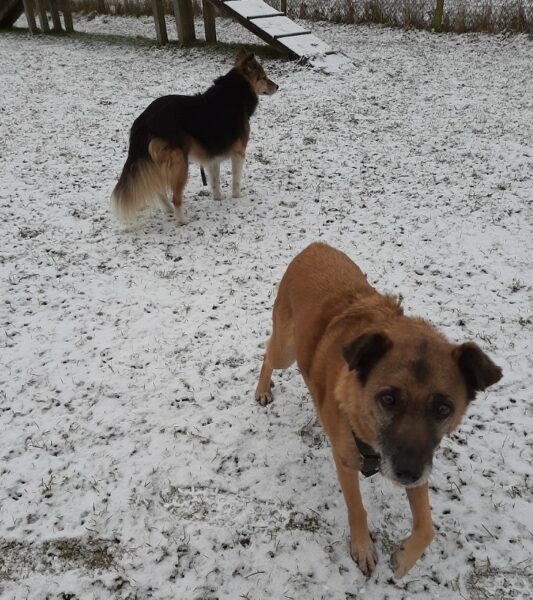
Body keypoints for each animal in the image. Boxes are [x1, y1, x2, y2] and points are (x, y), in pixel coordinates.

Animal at [111, 50, 278, 225]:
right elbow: (236, 179)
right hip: (179, 164)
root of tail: (144, 121)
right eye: (264, 77)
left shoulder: (212, 156)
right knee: (176, 197)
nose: (277, 86)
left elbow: (215, 181)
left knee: (159, 189)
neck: (236, 90)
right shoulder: (239, 153)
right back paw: (182, 219)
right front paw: (237, 196)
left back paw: (168, 210)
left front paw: (218, 198)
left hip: (157, 162)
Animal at [255, 242, 502, 578]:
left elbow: (427, 528)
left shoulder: (420, 459)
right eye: (388, 399)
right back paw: (262, 389)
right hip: (286, 350)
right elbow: (357, 509)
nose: (407, 472)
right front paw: (362, 547)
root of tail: (315, 246)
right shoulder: (346, 461)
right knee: (268, 352)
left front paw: (404, 559)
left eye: (443, 408)